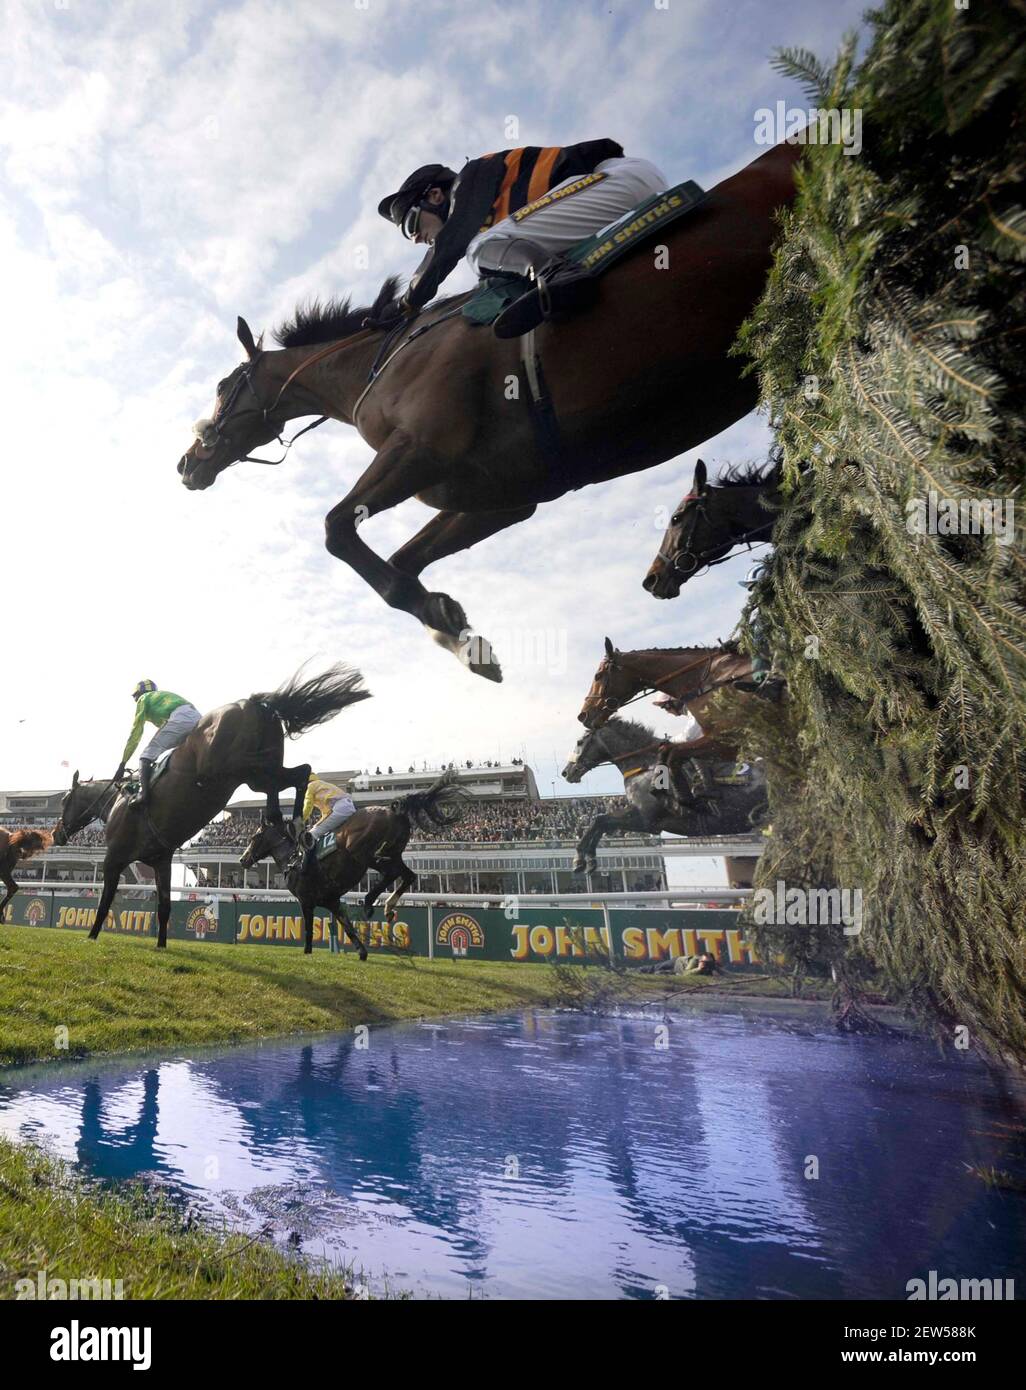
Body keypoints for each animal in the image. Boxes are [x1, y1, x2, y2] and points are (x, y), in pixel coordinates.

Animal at [52, 661, 369, 945]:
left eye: (65, 800)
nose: (56, 834)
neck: (115, 804)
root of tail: (252, 703)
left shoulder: (113, 858)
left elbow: (105, 901)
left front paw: (92, 936)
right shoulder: (161, 861)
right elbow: (164, 907)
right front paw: (161, 945)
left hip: (232, 768)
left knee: (282, 774)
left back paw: (286, 822)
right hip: (256, 771)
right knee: (299, 772)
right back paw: (288, 823)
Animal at [175, 143, 800, 681]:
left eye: (225, 385)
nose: (187, 464)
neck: (382, 361)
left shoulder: (421, 449)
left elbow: (338, 531)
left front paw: (453, 629)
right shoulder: (497, 495)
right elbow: (404, 557)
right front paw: (454, 629)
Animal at [239, 772, 467, 956]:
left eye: (254, 837)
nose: (243, 859)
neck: (292, 859)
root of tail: (394, 811)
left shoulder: (306, 900)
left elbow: (309, 929)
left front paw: (307, 952)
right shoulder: (331, 901)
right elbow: (347, 927)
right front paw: (362, 952)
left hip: (363, 854)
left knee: (392, 874)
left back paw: (369, 901)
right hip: (391, 854)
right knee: (408, 875)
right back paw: (386, 906)